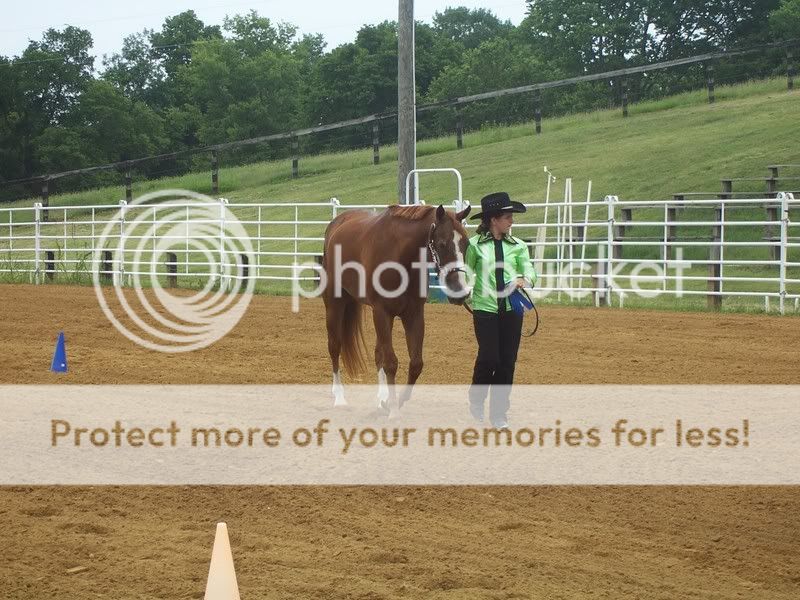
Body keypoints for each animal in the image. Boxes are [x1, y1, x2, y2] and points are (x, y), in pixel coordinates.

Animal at [318, 204, 468, 414]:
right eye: (441, 244)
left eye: (467, 244)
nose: (461, 292)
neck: (400, 257)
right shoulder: (381, 312)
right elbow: (390, 362)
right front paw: (393, 410)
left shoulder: (414, 314)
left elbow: (415, 363)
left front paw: (393, 401)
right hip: (335, 304)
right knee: (334, 346)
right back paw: (339, 397)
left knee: (377, 353)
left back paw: (381, 397)